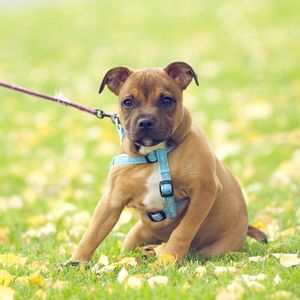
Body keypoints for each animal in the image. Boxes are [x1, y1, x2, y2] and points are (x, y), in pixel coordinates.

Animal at [71, 62, 268, 264]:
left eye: (167, 100)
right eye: (128, 102)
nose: (146, 122)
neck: (155, 153)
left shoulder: (204, 191)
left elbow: (183, 230)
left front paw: (168, 259)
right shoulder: (112, 200)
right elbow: (92, 233)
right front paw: (76, 263)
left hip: (215, 250)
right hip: (135, 235)